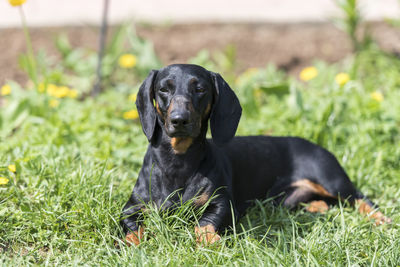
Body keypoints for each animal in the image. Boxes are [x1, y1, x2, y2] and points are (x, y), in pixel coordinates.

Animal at [120, 64, 390, 245]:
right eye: (163, 89)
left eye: (200, 89)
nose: (179, 120)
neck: (178, 161)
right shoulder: (132, 208)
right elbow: (131, 227)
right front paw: (131, 244)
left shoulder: (222, 205)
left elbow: (205, 225)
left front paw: (209, 242)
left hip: (332, 181)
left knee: (362, 199)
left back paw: (381, 220)